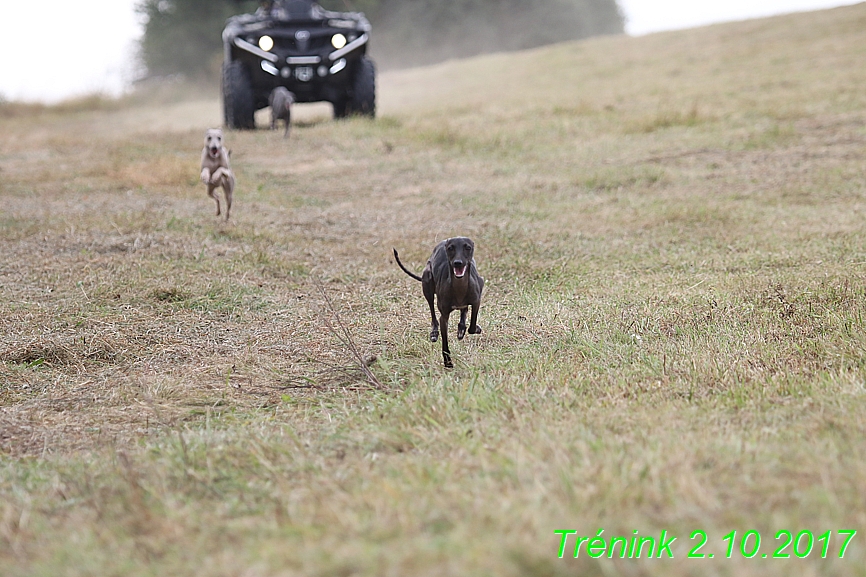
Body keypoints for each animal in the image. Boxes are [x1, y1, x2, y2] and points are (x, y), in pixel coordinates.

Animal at [394, 236, 482, 366]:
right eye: (450, 248)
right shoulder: (444, 316)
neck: (459, 287)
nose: (458, 263)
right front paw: (448, 362)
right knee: (432, 310)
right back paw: (435, 332)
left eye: (468, 247)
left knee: (464, 310)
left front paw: (473, 328)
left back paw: (461, 327)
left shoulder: (476, 301)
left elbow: (471, 326)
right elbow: (445, 341)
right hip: (427, 282)